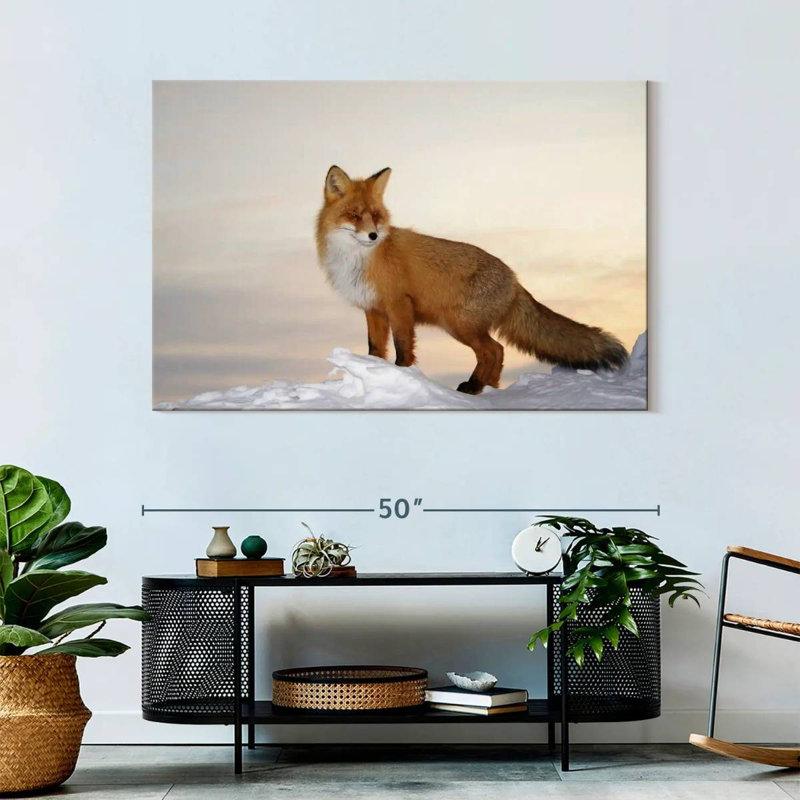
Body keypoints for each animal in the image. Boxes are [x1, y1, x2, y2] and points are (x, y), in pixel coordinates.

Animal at [315, 165, 628, 394]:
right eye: (354, 215)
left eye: (376, 216)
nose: (373, 235)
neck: (359, 259)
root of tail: (514, 279)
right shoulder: (374, 308)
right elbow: (375, 349)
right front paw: (374, 374)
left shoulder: (399, 305)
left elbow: (403, 347)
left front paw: (402, 375)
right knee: (497, 352)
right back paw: (488, 388)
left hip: (460, 324)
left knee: (494, 351)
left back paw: (475, 387)